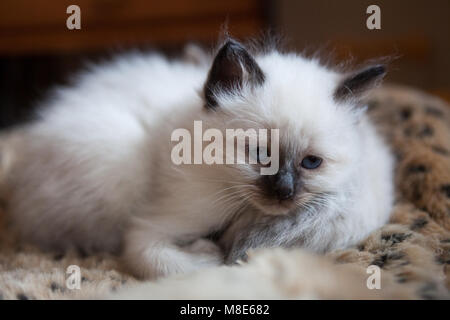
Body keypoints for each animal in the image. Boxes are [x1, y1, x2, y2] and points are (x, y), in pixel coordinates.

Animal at [0, 37, 392, 278]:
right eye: (261, 154)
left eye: (311, 162)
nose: (284, 192)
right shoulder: (151, 228)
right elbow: (167, 262)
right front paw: (206, 252)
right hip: (114, 158)